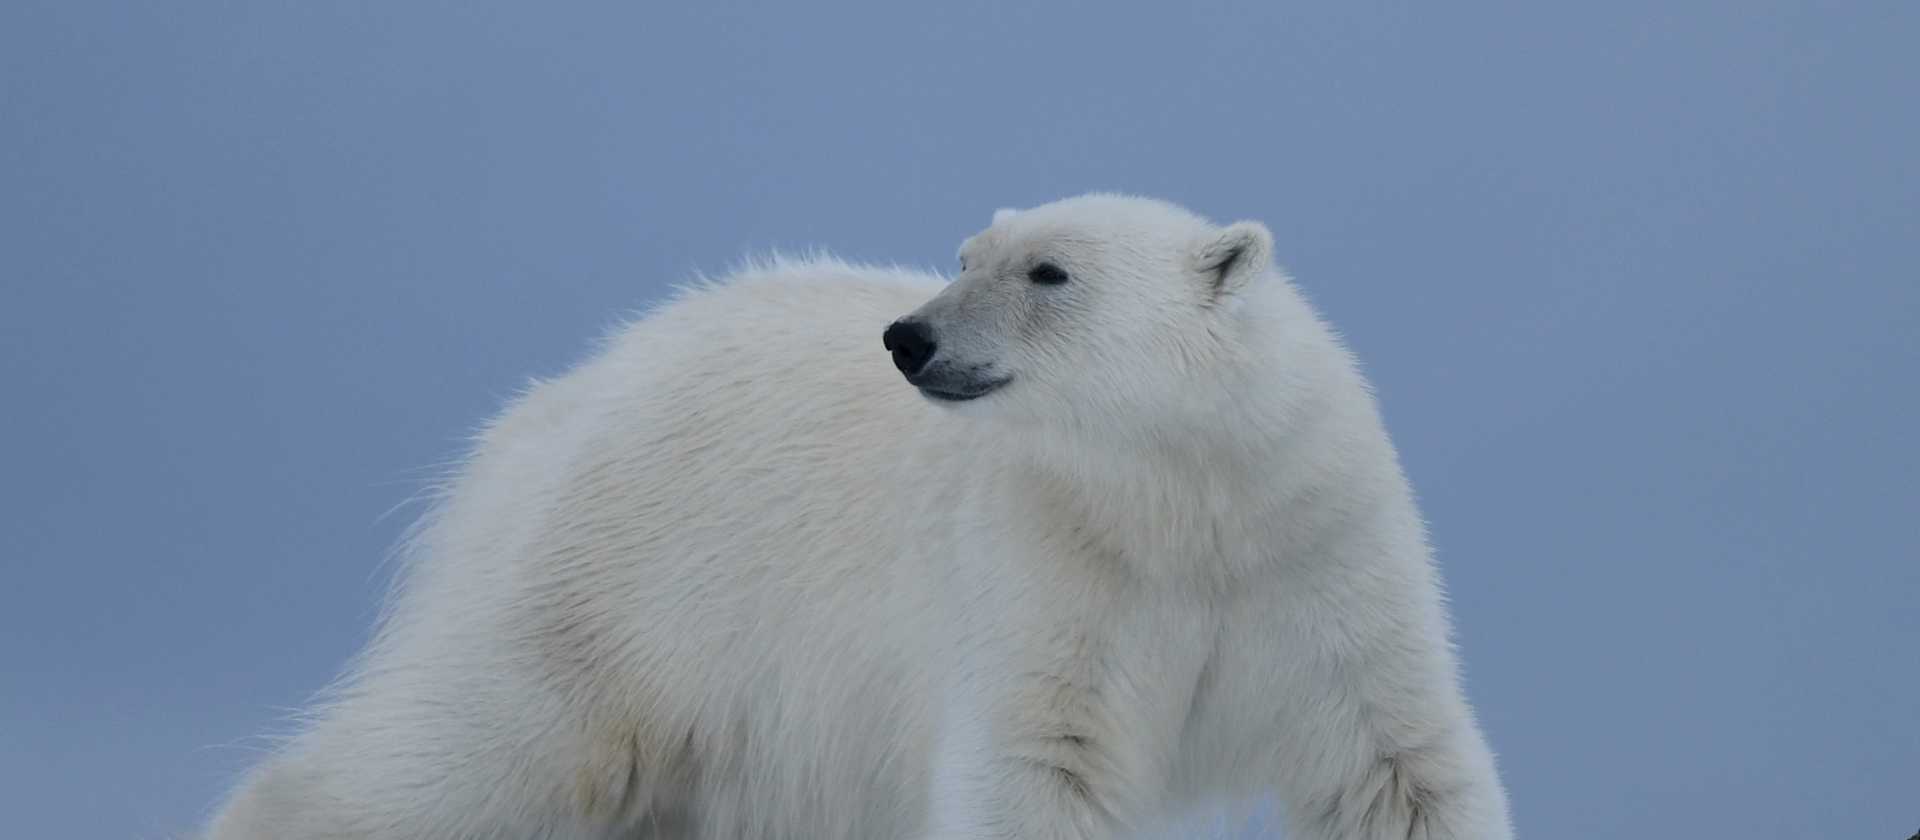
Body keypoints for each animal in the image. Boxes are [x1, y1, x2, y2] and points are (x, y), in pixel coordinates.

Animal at [204, 193, 1512, 840]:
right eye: (967, 251)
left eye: (1049, 271)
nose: (910, 336)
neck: (1179, 506)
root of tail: (548, 406)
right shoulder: (1046, 565)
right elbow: (1036, 759)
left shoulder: (1315, 553)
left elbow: (1397, 767)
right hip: (632, 584)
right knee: (469, 747)